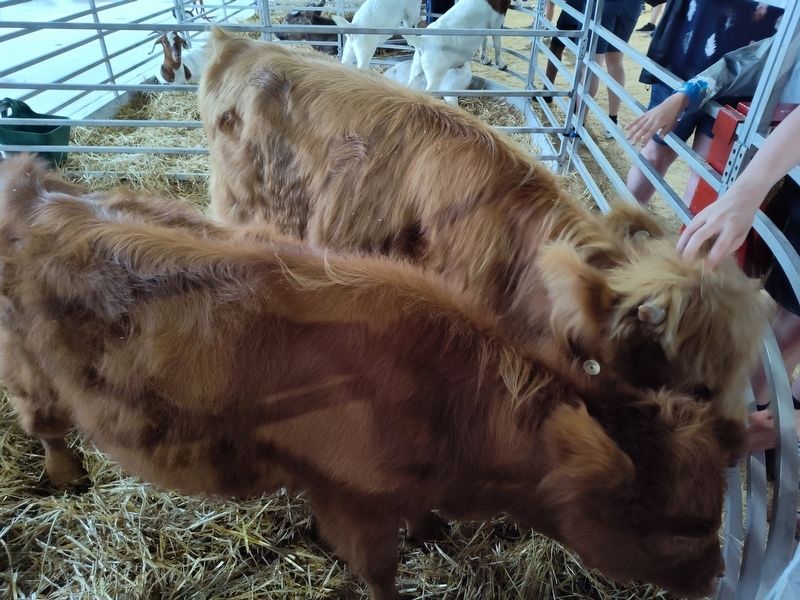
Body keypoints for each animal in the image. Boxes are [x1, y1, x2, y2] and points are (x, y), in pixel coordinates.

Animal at [0, 155, 739, 599]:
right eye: (688, 525)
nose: (718, 576)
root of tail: (34, 187)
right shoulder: (349, 498)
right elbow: (379, 570)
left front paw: (431, 528)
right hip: (30, 371)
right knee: (47, 425)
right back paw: (68, 476)